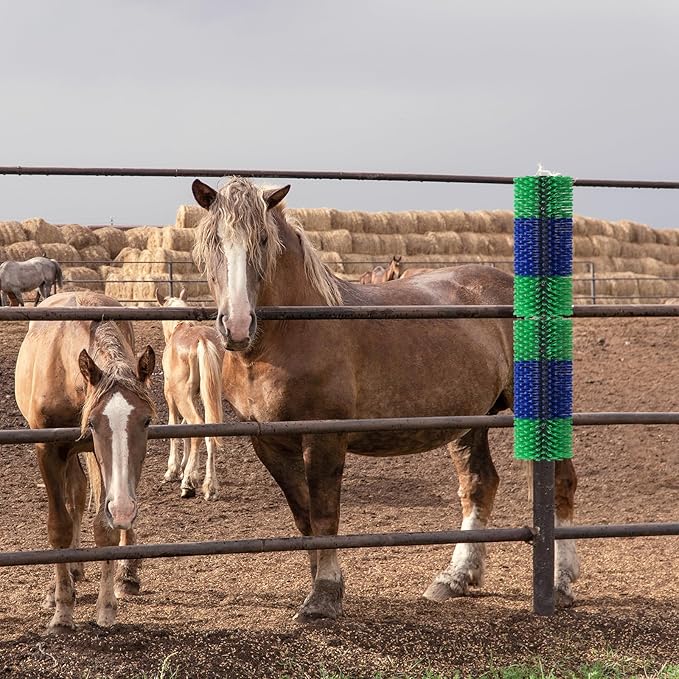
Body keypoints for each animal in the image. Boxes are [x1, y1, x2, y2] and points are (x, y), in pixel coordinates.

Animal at [15, 291, 156, 633]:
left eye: (145, 420)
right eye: (92, 422)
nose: (124, 509)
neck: (65, 372)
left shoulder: (99, 457)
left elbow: (105, 528)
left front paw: (106, 607)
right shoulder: (49, 451)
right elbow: (60, 526)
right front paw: (63, 610)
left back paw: (126, 575)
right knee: (75, 495)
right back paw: (70, 575)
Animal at [155, 287, 225, 500]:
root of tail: (202, 340)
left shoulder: (171, 396)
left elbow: (175, 427)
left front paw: (173, 470)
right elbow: (185, 427)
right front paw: (185, 464)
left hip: (181, 396)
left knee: (197, 425)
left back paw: (188, 482)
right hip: (210, 397)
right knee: (209, 430)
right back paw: (210, 486)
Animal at [191, 176, 579, 622]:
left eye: (263, 239)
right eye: (213, 241)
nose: (237, 325)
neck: (292, 333)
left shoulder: (324, 438)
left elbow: (324, 515)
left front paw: (324, 595)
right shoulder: (269, 442)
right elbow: (304, 517)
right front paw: (321, 584)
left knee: (561, 480)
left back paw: (561, 583)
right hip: (469, 419)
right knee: (480, 484)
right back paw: (456, 578)